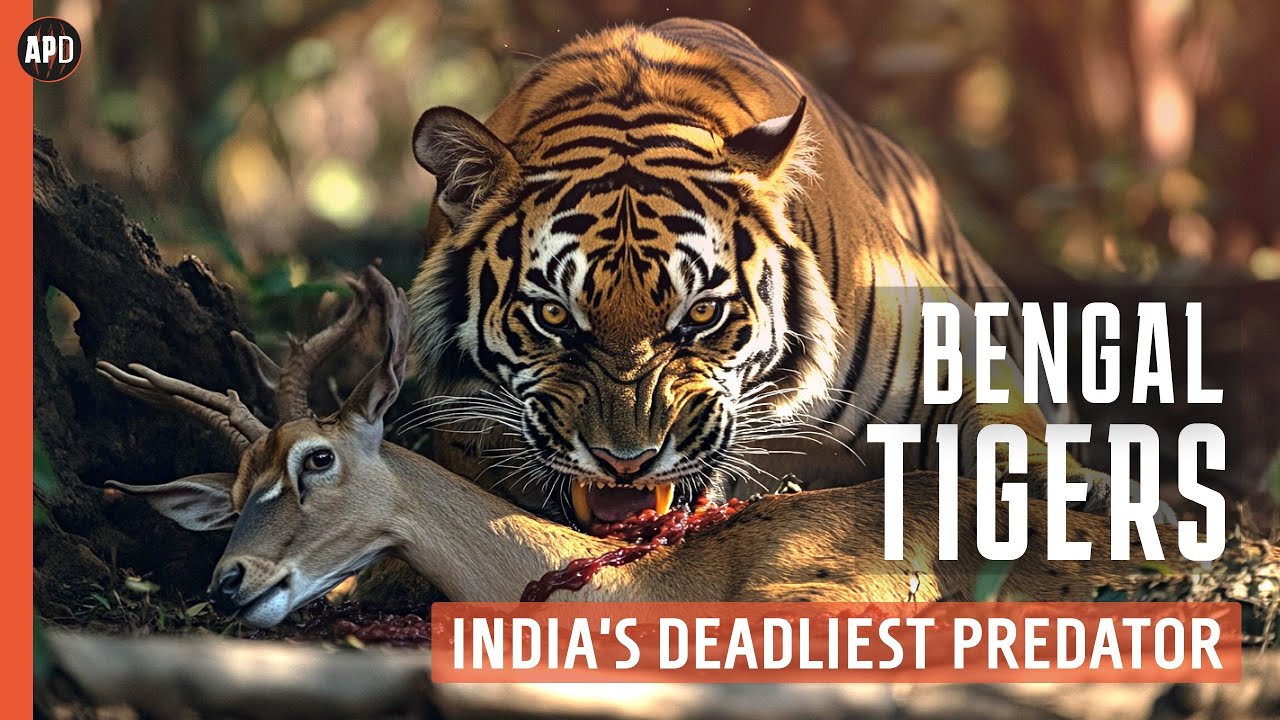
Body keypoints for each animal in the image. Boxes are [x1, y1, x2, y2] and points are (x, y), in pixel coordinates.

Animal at [403, 18, 1169, 530]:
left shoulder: (962, 348)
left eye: (701, 314)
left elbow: (1011, 437)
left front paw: (1085, 489)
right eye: (554, 316)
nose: (626, 462)